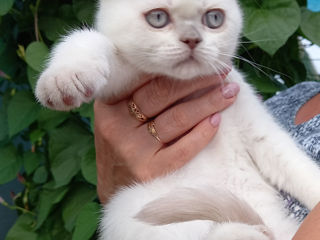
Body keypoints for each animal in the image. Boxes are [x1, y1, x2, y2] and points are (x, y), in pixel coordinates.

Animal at [35, 0, 320, 238]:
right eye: (158, 17)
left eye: (214, 18)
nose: (192, 39)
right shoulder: (123, 80)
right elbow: (89, 40)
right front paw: (65, 76)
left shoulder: (256, 127)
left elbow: (295, 165)